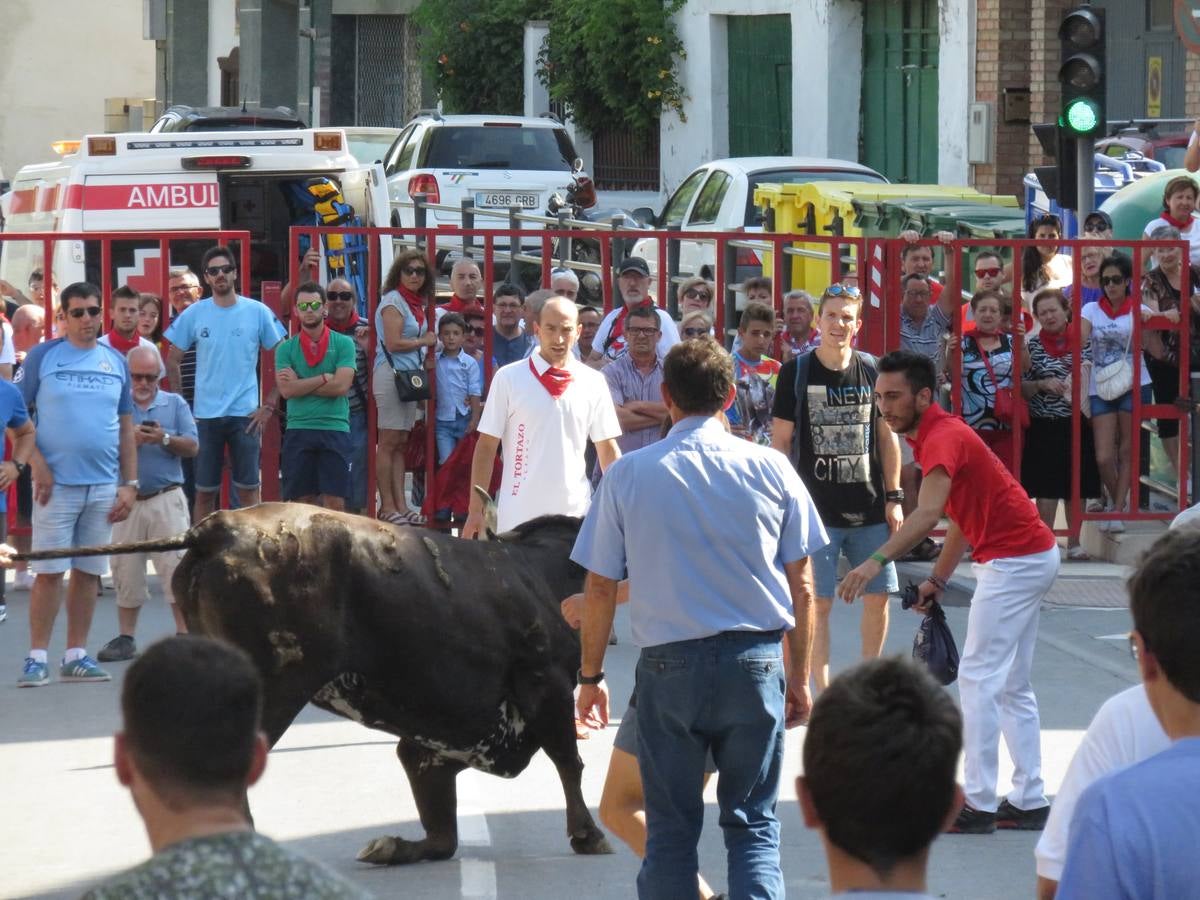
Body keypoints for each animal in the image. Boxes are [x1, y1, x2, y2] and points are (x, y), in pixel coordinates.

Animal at [19, 508, 614, 868]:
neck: (544, 573)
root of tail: (215, 528)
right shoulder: (545, 682)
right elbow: (569, 759)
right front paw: (588, 835)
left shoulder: (430, 748)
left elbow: (441, 831)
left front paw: (390, 845)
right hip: (270, 689)